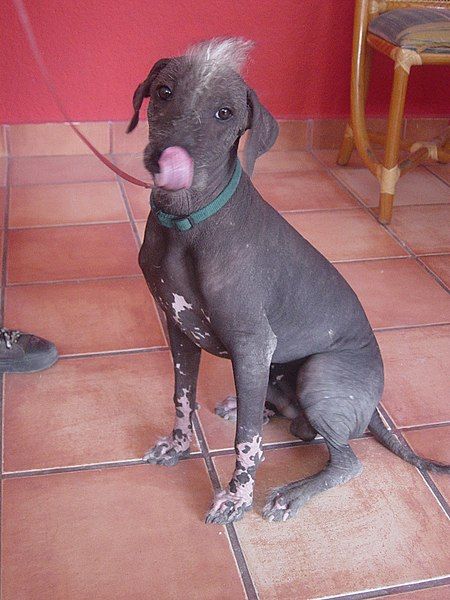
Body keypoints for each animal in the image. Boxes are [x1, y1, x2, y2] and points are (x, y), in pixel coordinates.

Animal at [127, 38, 450, 524]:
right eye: (164, 92)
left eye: (224, 113)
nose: (169, 159)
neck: (186, 223)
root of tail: (374, 407)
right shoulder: (180, 332)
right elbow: (183, 398)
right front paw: (179, 446)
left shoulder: (251, 345)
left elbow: (245, 441)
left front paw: (237, 499)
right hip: (277, 371)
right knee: (293, 422)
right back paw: (253, 407)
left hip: (318, 376)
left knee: (344, 458)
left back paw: (290, 492)